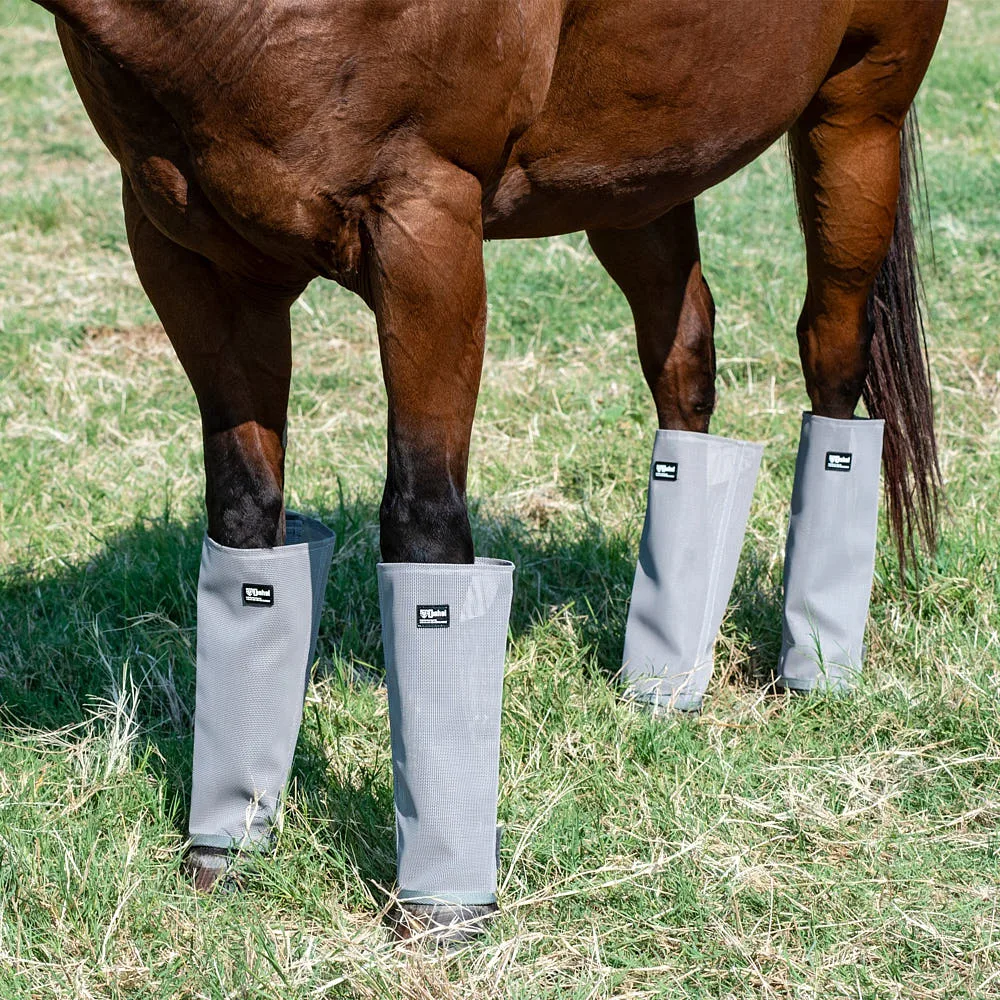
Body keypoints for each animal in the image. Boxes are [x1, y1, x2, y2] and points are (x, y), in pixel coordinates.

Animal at [33, 0, 947, 943]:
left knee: (833, 364)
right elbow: (248, 520)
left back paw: (816, 671)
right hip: (642, 173)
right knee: (685, 374)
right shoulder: (194, 257)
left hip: (855, 121)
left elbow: (424, 521)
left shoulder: (425, 230)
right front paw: (228, 844)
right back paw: (663, 686)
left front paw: (441, 902)